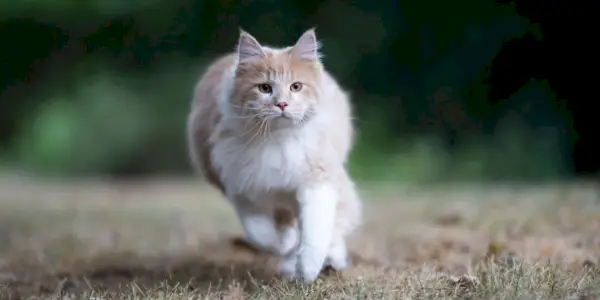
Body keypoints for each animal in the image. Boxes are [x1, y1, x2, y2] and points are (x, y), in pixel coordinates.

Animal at [185, 28, 360, 284]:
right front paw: (287, 250)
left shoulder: (318, 179)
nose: (282, 104)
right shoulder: (243, 189)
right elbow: (261, 232)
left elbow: (316, 230)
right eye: (265, 88)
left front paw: (307, 268)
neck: (277, 139)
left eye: (296, 86)